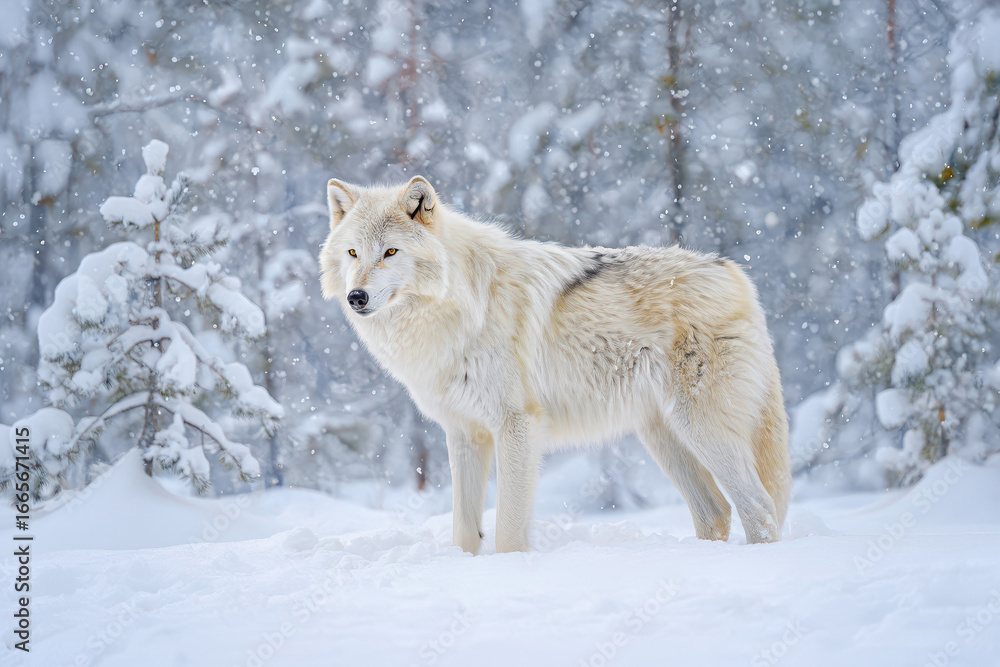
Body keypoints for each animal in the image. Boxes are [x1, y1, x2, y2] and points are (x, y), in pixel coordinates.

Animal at [320, 176, 791, 554]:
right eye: (353, 252)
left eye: (390, 252)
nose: (357, 297)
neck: (459, 307)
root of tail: (735, 274)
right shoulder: (465, 433)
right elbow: (464, 532)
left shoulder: (518, 424)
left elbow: (508, 530)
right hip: (664, 437)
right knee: (716, 512)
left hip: (702, 429)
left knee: (761, 508)